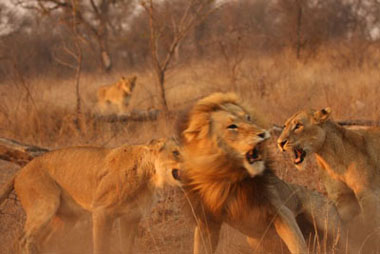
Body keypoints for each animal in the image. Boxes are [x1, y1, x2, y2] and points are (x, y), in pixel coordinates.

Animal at [0, 138, 183, 254]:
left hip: (67, 218)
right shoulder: (102, 211)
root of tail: (19, 172)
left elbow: (127, 247)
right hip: (45, 205)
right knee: (23, 240)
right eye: (176, 152)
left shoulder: (131, 217)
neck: (150, 176)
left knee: (45, 241)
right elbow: (101, 246)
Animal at [178, 93, 342, 254]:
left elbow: (297, 245)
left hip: (328, 222)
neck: (230, 178)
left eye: (248, 118)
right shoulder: (206, 222)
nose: (263, 134)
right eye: (232, 126)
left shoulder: (281, 211)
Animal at [276, 108, 380, 247]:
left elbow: (371, 224)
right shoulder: (342, 199)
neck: (331, 159)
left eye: (298, 125)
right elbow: (340, 226)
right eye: (285, 126)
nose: (280, 143)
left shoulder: (368, 194)